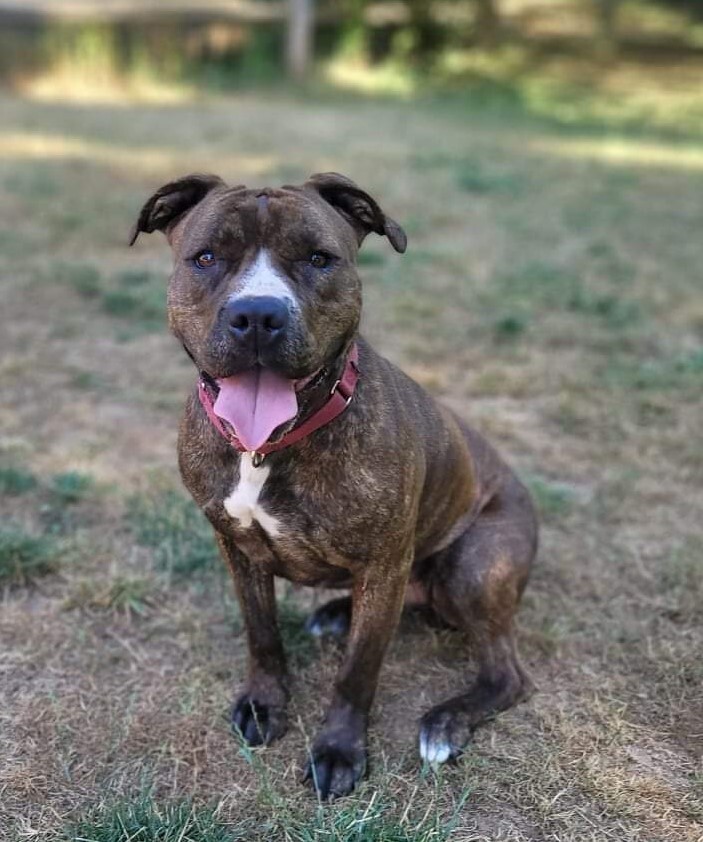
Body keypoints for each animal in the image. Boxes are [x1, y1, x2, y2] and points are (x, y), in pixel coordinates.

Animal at [131, 171, 540, 796]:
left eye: (319, 259)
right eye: (206, 257)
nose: (257, 315)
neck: (267, 448)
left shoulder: (383, 563)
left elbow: (357, 671)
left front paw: (339, 751)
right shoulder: (235, 548)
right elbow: (262, 633)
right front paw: (264, 704)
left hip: (472, 565)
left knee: (506, 674)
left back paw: (445, 723)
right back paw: (334, 614)